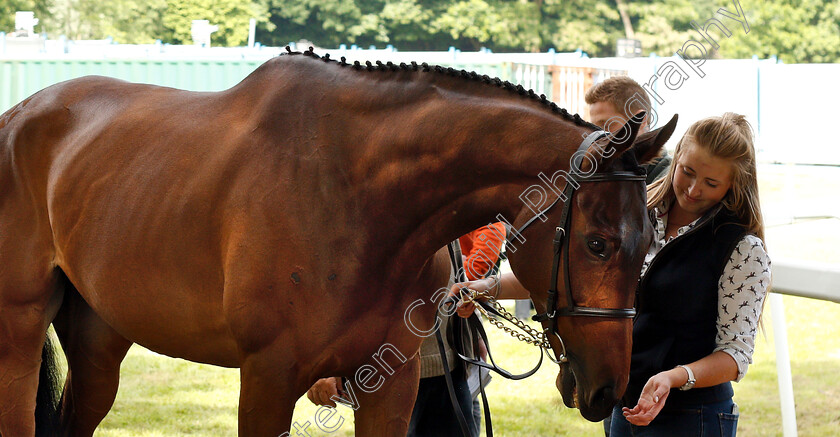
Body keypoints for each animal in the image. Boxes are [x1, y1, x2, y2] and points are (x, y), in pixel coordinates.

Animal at [0, 48, 676, 436]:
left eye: (649, 240)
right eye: (597, 244)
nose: (608, 389)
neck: (357, 197)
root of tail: (20, 115)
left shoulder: (390, 387)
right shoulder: (267, 380)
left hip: (100, 338)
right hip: (21, 328)